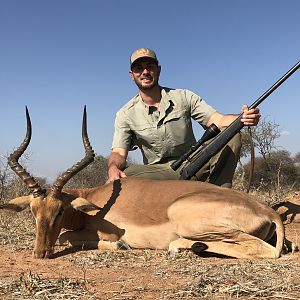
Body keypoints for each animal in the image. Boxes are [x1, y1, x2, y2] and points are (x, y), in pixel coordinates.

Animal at [0, 107, 286, 258]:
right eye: (33, 211)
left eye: (60, 210)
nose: (40, 253)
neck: (97, 200)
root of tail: (267, 210)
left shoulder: (105, 231)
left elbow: (67, 237)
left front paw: (121, 245)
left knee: (264, 250)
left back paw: (185, 246)